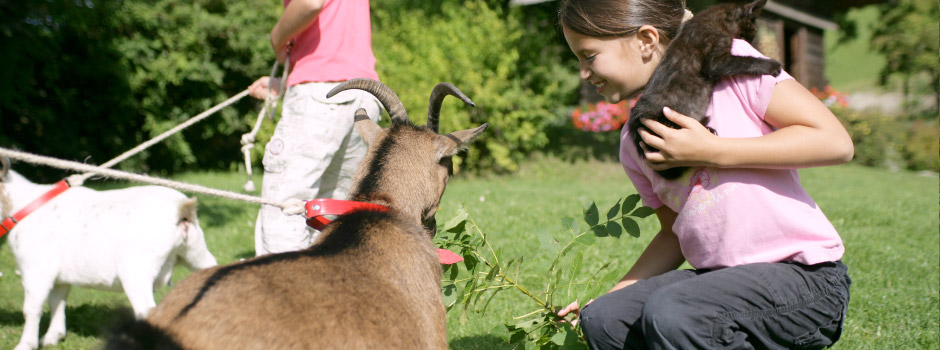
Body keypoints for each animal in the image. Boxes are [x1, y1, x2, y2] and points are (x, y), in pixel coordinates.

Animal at [0, 163, 217, 350]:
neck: (23, 205)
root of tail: (182, 209)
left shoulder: (36, 270)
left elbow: (31, 308)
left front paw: (25, 345)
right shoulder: (60, 276)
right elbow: (57, 302)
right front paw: (52, 337)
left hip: (136, 270)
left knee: (146, 309)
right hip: (196, 252)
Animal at [628, 0, 784, 180]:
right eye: (752, 31)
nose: (750, 42)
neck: (710, 21)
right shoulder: (716, 60)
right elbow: (745, 61)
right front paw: (771, 65)